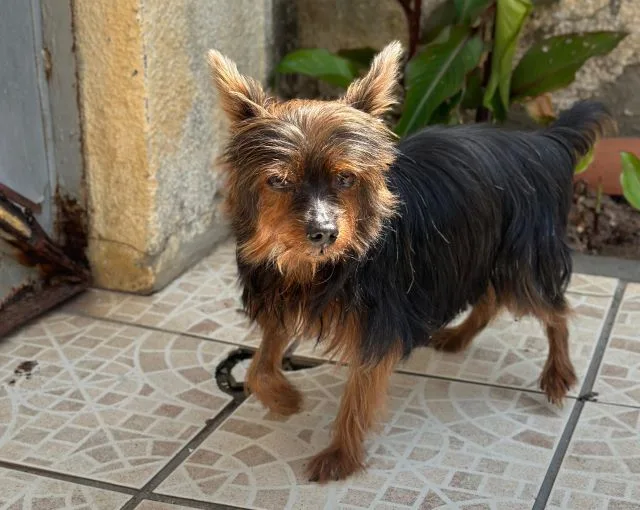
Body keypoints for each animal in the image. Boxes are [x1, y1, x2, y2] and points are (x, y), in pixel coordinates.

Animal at [208, 40, 612, 482]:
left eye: (346, 178)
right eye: (278, 181)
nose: (324, 233)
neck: (312, 267)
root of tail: (544, 143)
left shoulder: (381, 320)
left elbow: (358, 394)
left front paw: (341, 455)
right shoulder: (281, 296)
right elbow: (259, 367)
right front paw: (285, 399)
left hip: (521, 255)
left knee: (553, 309)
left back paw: (558, 374)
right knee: (491, 300)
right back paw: (458, 337)